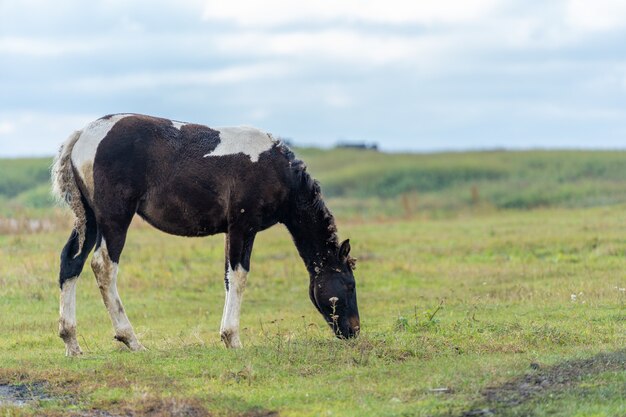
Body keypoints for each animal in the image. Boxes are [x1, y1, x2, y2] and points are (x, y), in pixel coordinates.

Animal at [52, 114, 360, 354]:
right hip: (115, 219)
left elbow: (228, 277)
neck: (276, 169)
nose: (355, 330)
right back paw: (131, 340)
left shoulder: (233, 232)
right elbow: (238, 277)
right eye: (349, 285)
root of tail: (84, 134)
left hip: (90, 221)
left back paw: (72, 342)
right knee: (103, 266)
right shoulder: (242, 228)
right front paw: (232, 339)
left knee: (71, 263)